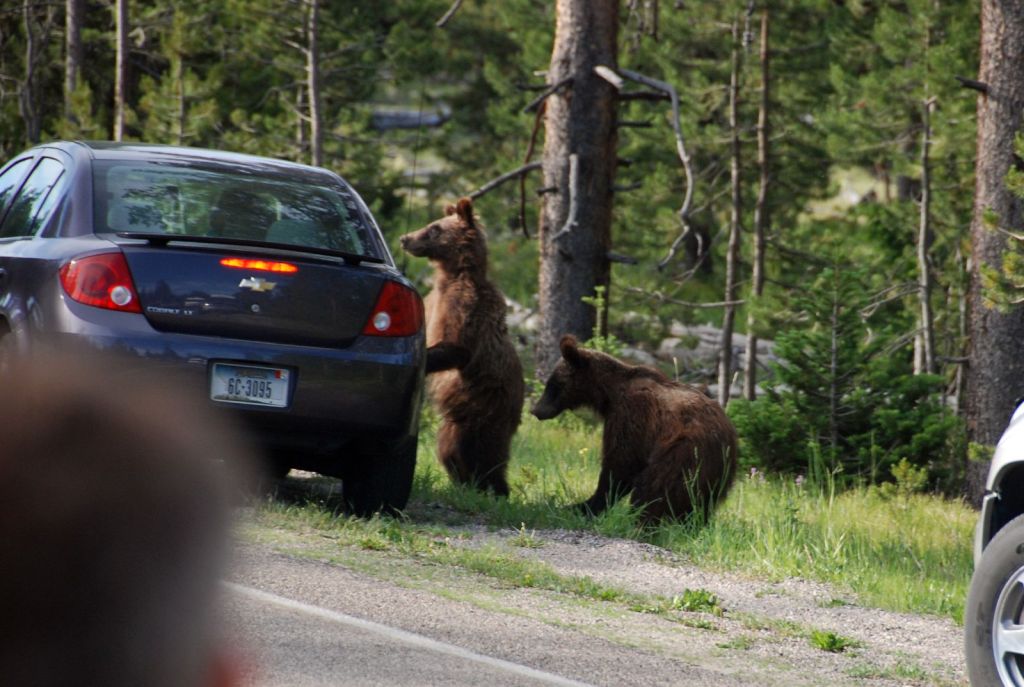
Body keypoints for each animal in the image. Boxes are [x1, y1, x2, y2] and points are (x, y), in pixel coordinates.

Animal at [399, 197, 524, 496]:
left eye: (434, 228)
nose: (405, 238)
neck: (454, 273)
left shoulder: (463, 305)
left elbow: (457, 347)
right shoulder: (434, 300)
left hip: (486, 405)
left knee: (480, 449)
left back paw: (493, 488)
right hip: (463, 413)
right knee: (449, 446)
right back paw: (466, 483)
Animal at [531, 335, 738, 524]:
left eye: (553, 383)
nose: (535, 410)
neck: (608, 394)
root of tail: (728, 437)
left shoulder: (633, 414)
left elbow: (621, 463)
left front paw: (584, 506)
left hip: (685, 451)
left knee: (659, 485)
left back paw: (643, 519)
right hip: (718, 474)